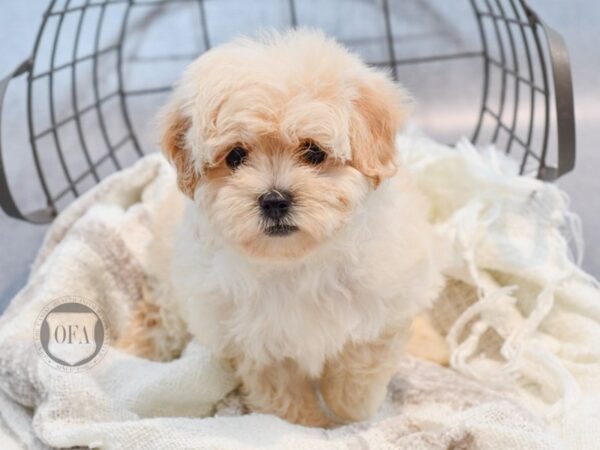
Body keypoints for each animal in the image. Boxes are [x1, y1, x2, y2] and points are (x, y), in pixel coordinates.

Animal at [118, 29, 446, 428]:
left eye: (314, 152)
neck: (296, 262)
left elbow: (357, 369)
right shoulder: (255, 339)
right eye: (236, 156)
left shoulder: (382, 303)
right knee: (160, 319)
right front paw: (310, 427)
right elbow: (282, 392)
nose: (274, 200)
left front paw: (349, 415)